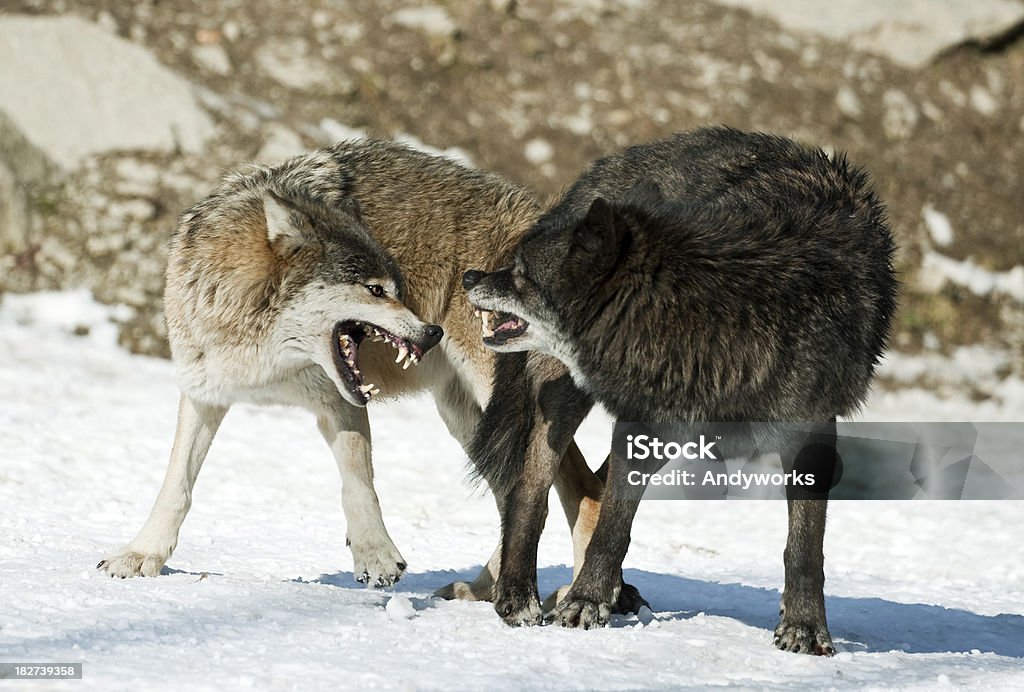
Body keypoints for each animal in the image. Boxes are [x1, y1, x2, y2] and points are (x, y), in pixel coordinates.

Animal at [99, 138, 614, 597]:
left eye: (395, 286)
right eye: (375, 289)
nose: (431, 333)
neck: (263, 354)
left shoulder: (339, 401)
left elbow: (358, 486)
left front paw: (376, 557)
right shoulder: (205, 392)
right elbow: (176, 486)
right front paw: (141, 555)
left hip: (502, 400)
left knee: (580, 491)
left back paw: (576, 600)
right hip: (470, 419)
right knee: (521, 494)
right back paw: (483, 589)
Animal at [464, 128, 897, 655]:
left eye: (522, 272)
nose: (470, 276)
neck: (718, 316)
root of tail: (604, 167)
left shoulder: (811, 432)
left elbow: (805, 549)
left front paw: (805, 628)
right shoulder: (641, 425)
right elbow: (614, 527)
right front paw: (585, 603)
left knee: (589, 491)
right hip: (569, 400)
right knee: (531, 490)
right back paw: (518, 596)